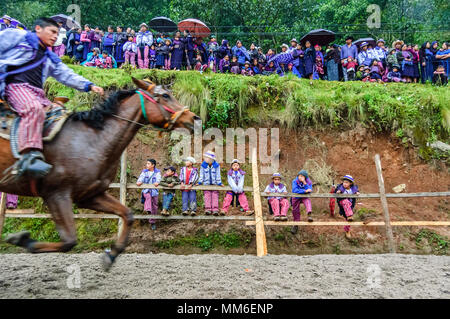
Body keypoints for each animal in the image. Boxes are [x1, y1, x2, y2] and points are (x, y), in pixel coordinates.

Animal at [0, 77, 199, 270]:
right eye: (165, 96)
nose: (195, 117)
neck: (93, 141)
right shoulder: (56, 194)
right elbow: (69, 241)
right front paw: (22, 240)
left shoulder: (89, 196)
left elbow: (127, 215)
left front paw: (112, 254)